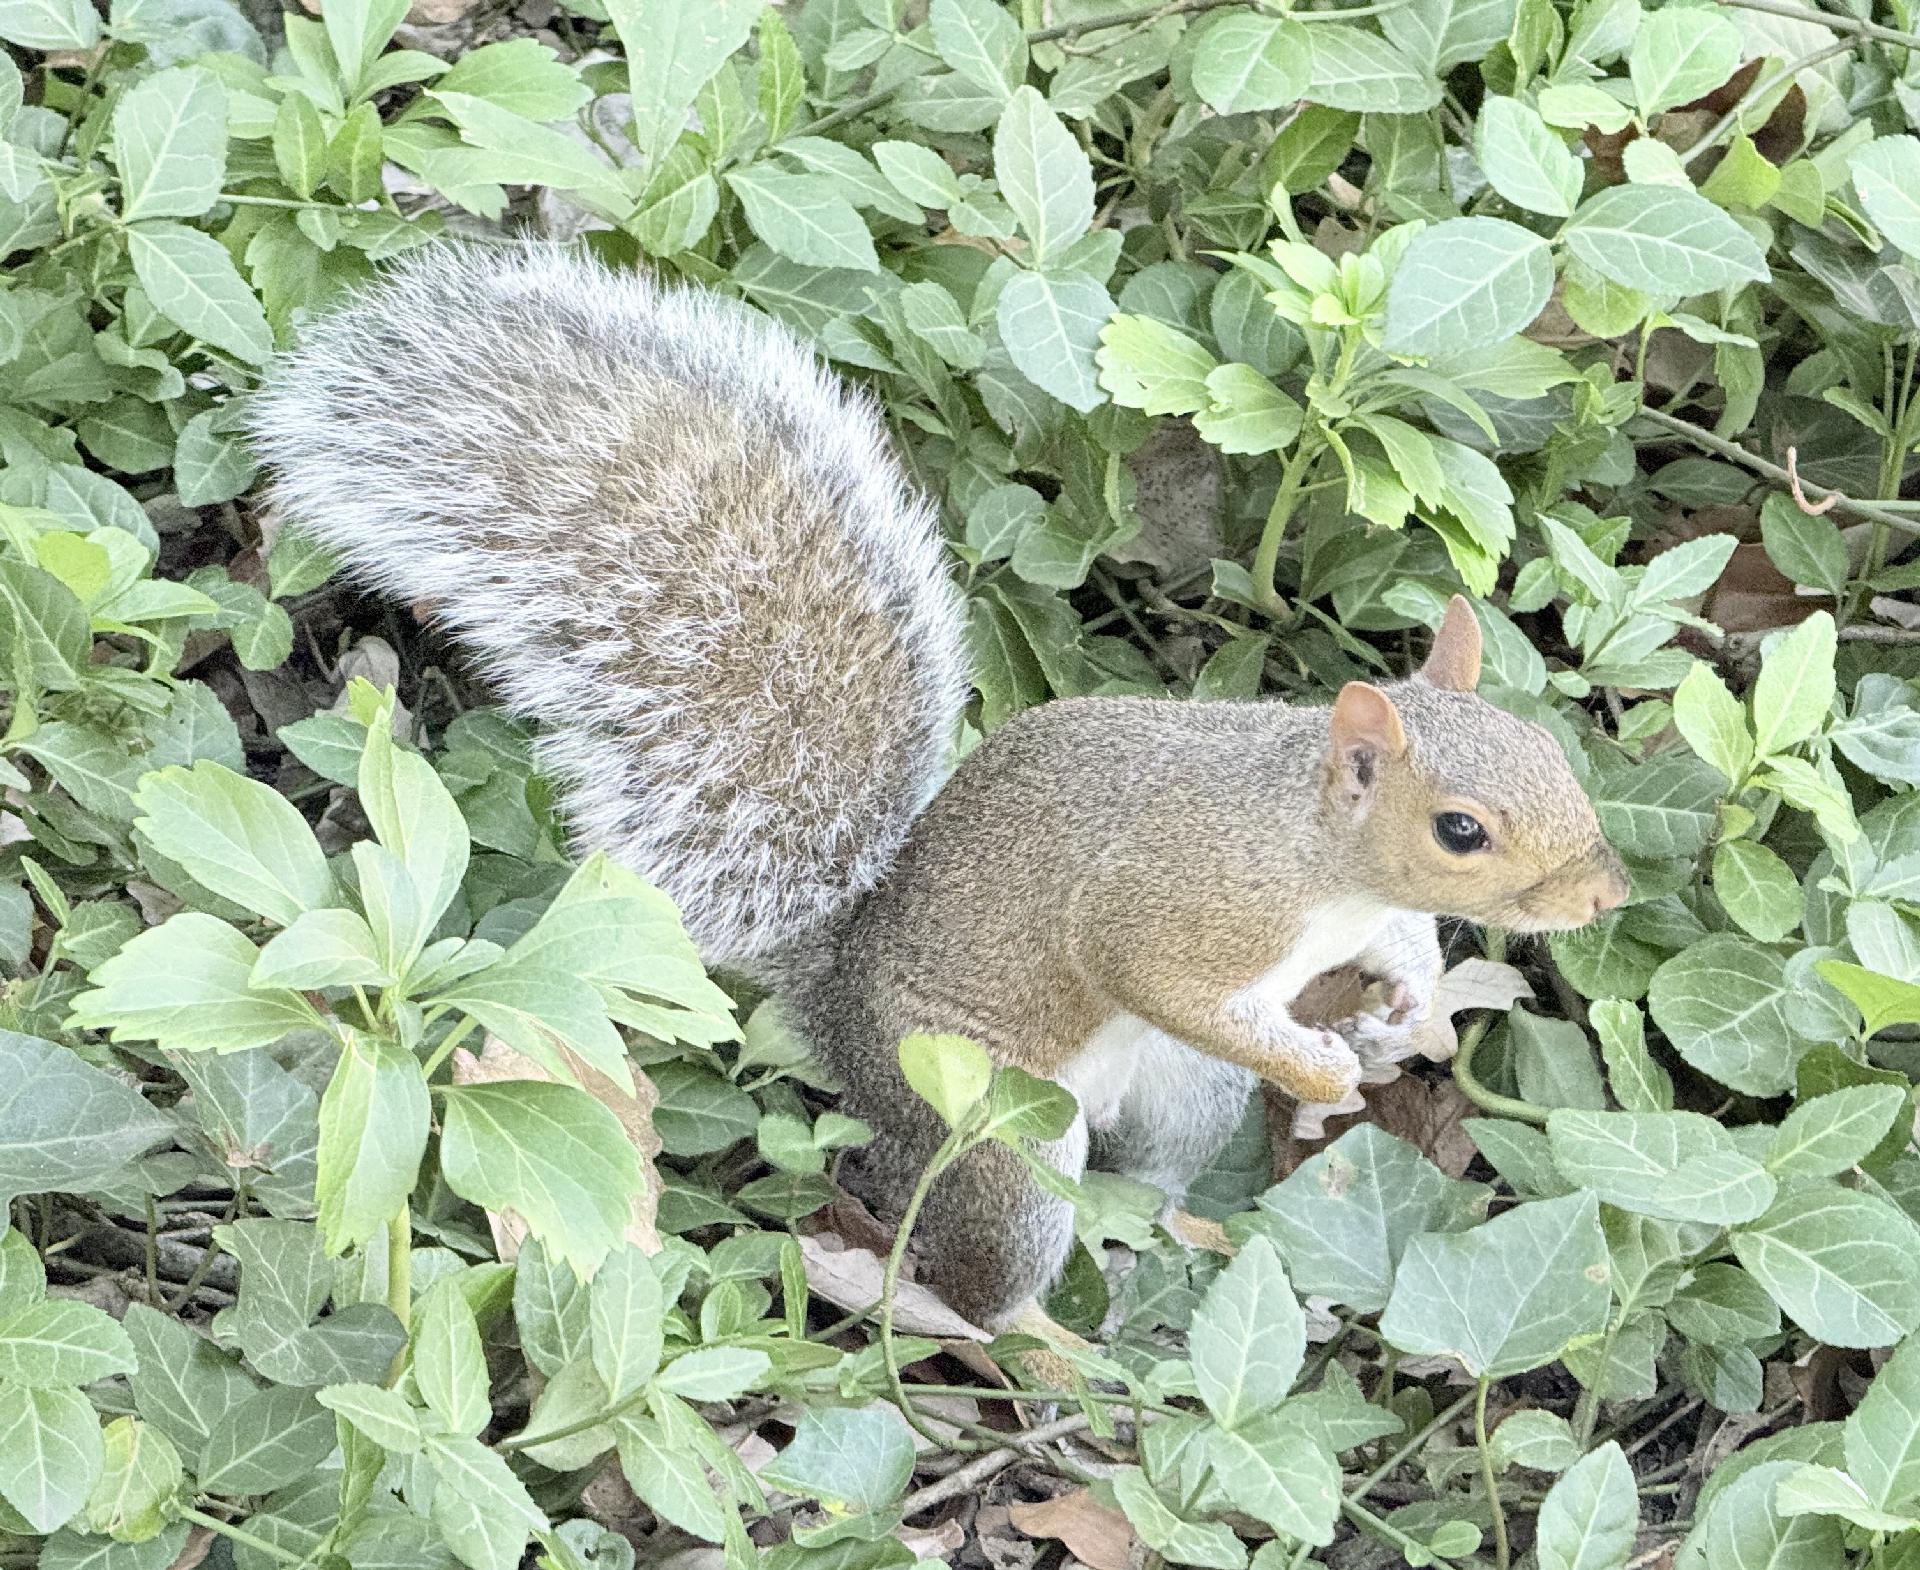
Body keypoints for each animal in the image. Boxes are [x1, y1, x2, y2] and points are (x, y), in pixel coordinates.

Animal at [247, 243, 1630, 1340]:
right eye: (1462, 828)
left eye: (1557, 758)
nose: (1604, 901)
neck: (1316, 855)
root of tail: (841, 1005)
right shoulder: (1180, 902)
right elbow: (1150, 971)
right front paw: (1324, 1064)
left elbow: (1399, 947)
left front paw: (1413, 1003)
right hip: (992, 1123)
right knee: (985, 1282)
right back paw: (1035, 1337)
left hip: (1177, 1100)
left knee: (1152, 1181)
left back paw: (1190, 1236)